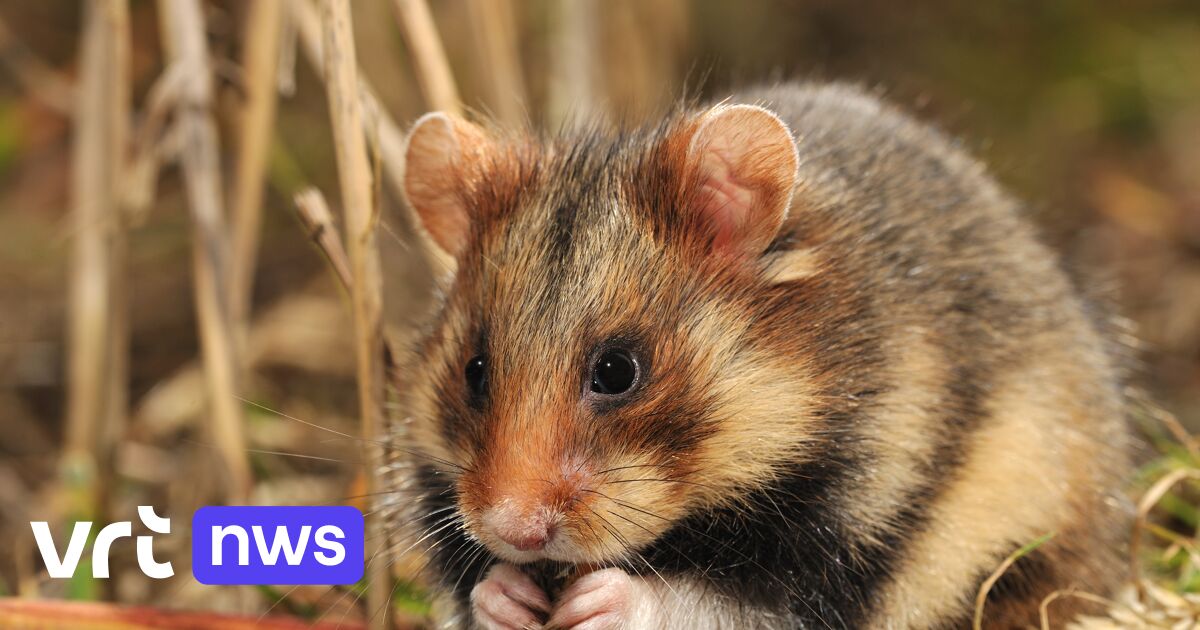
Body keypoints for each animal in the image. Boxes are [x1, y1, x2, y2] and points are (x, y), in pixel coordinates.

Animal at [388, 82, 1133, 629]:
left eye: (618, 371)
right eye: (474, 371)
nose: (509, 530)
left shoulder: (838, 538)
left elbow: (703, 600)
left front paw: (593, 601)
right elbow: (473, 592)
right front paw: (508, 596)